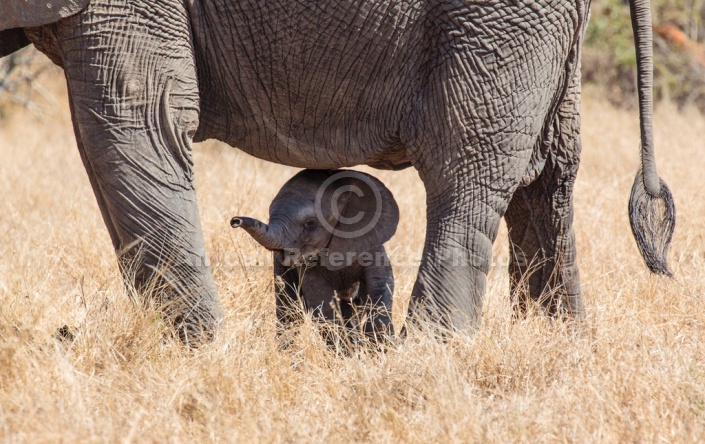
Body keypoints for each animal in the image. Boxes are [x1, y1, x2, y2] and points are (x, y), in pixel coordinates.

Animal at [231, 169, 396, 340]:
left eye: (310, 224)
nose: (235, 221)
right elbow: (321, 301)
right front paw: (348, 346)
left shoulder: (370, 245)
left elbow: (380, 284)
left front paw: (378, 343)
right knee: (289, 311)